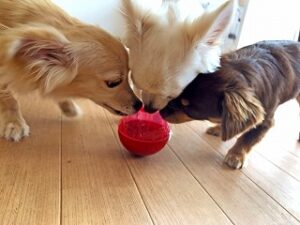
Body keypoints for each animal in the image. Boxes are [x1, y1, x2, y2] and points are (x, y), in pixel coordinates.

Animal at [0, 0, 142, 142]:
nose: (139, 104)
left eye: (129, 76)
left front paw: (68, 107)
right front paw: (14, 123)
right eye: (113, 83)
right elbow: (9, 99)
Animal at [161, 40, 300, 169]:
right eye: (177, 93)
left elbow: (248, 138)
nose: (160, 112)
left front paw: (236, 155)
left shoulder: (265, 121)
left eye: (190, 109)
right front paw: (219, 128)